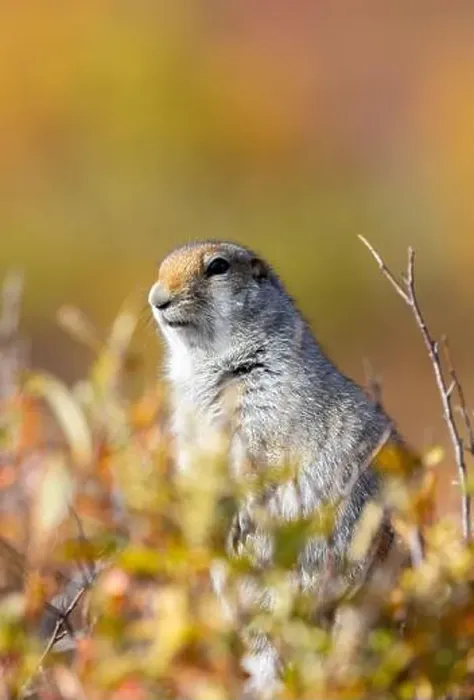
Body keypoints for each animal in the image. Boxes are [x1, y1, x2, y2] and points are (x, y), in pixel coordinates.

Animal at [149, 240, 412, 696]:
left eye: (218, 267)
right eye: (162, 266)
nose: (157, 298)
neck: (206, 364)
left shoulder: (264, 403)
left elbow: (255, 460)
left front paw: (239, 516)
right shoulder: (188, 425)